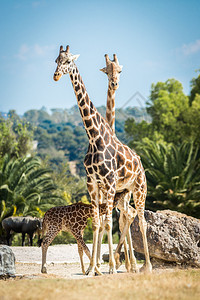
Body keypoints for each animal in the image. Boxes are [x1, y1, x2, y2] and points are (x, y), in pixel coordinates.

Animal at [53, 44, 152, 274]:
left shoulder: (109, 183)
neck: (94, 136)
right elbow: (98, 223)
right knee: (129, 217)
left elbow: (108, 223)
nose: (56, 75)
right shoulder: (92, 183)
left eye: (68, 61)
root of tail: (140, 163)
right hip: (124, 192)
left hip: (139, 189)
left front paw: (110, 268)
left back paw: (145, 266)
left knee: (140, 220)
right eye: (56, 61)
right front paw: (93, 268)